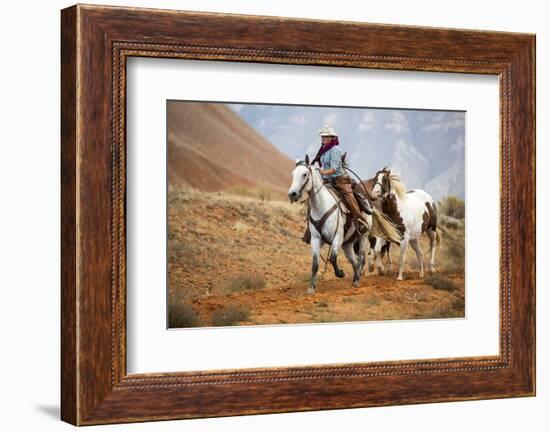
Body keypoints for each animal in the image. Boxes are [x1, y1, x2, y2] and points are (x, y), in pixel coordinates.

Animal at [288, 157, 402, 296]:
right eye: (293, 174)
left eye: (304, 174)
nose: (292, 194)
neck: (321, 205)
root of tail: (368, 203)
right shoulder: (315, 239)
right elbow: (315, 263)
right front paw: (311, 288)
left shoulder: (337, 237)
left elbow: (332, 258)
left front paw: (340, 273)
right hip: (347, 243)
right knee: (354, 260)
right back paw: (355, 277)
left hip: (363, 236)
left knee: (362, 257)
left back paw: (357, 280)